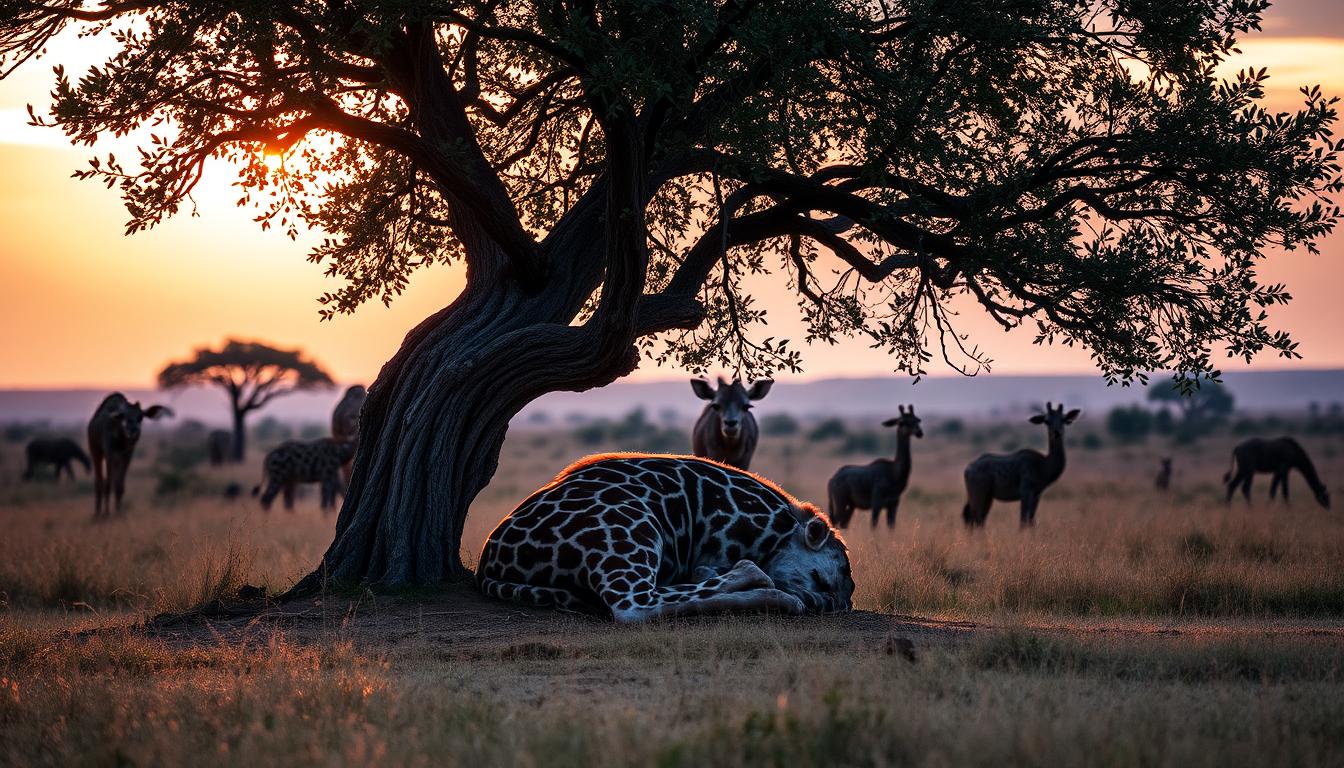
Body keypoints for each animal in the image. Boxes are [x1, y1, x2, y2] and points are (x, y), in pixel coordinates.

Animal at [475, 454, 849, 621]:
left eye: (844, 598)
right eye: (820, 578)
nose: (821, 605)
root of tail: (488, 563)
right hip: (630, 526)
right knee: (632, 606)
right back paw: (772, 592)